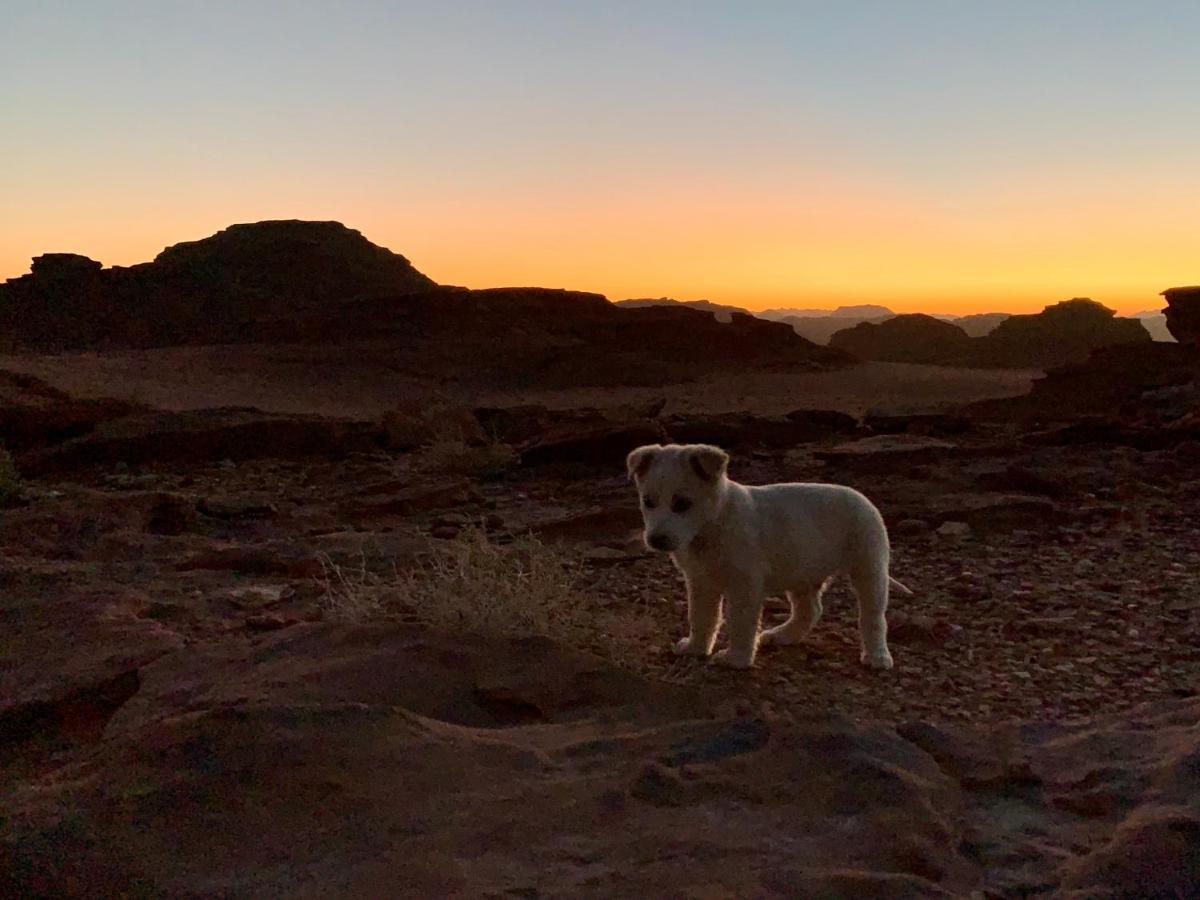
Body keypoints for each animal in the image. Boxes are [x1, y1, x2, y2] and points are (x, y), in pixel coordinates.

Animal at [628, 444, 907, 672]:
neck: (713, 523)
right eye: (648, 501)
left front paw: (736, 659)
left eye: (682, 503)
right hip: (802, 573)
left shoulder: (744, 584)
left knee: (873, 616)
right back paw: (781, 635)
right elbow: (701, 618)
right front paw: (696, 648)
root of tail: (864, 499)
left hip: (869, 568)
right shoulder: (701, 582)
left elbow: (740, 622)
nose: (656, 539)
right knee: (810, 611)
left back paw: (878, 656)